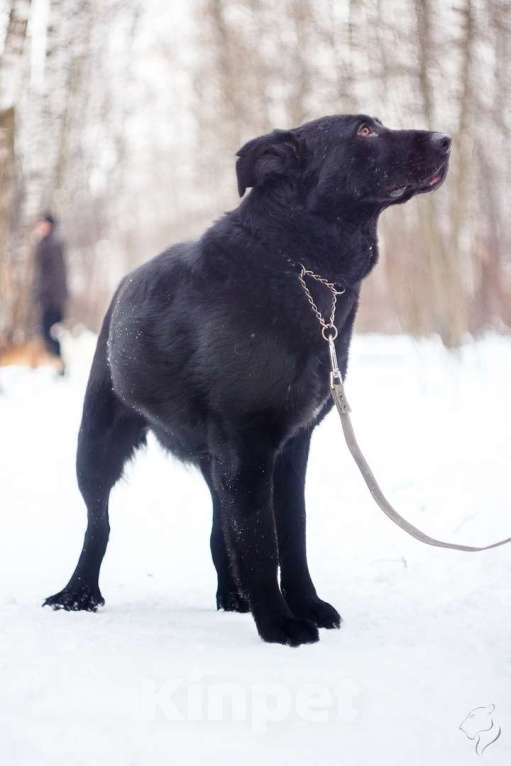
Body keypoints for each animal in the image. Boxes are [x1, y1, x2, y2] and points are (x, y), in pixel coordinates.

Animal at [45, 114, 452, 648]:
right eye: (364, 130)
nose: (446, 140)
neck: (300, 264)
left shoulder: (290, 446)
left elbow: (290, 533)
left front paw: (305, 605)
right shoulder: (248, 441)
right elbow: (261, 540)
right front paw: (280, 624)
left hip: (214, 463)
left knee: (220, 526)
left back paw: (232, 597)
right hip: (97, 444)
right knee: (99, 524)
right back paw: (79, 593)